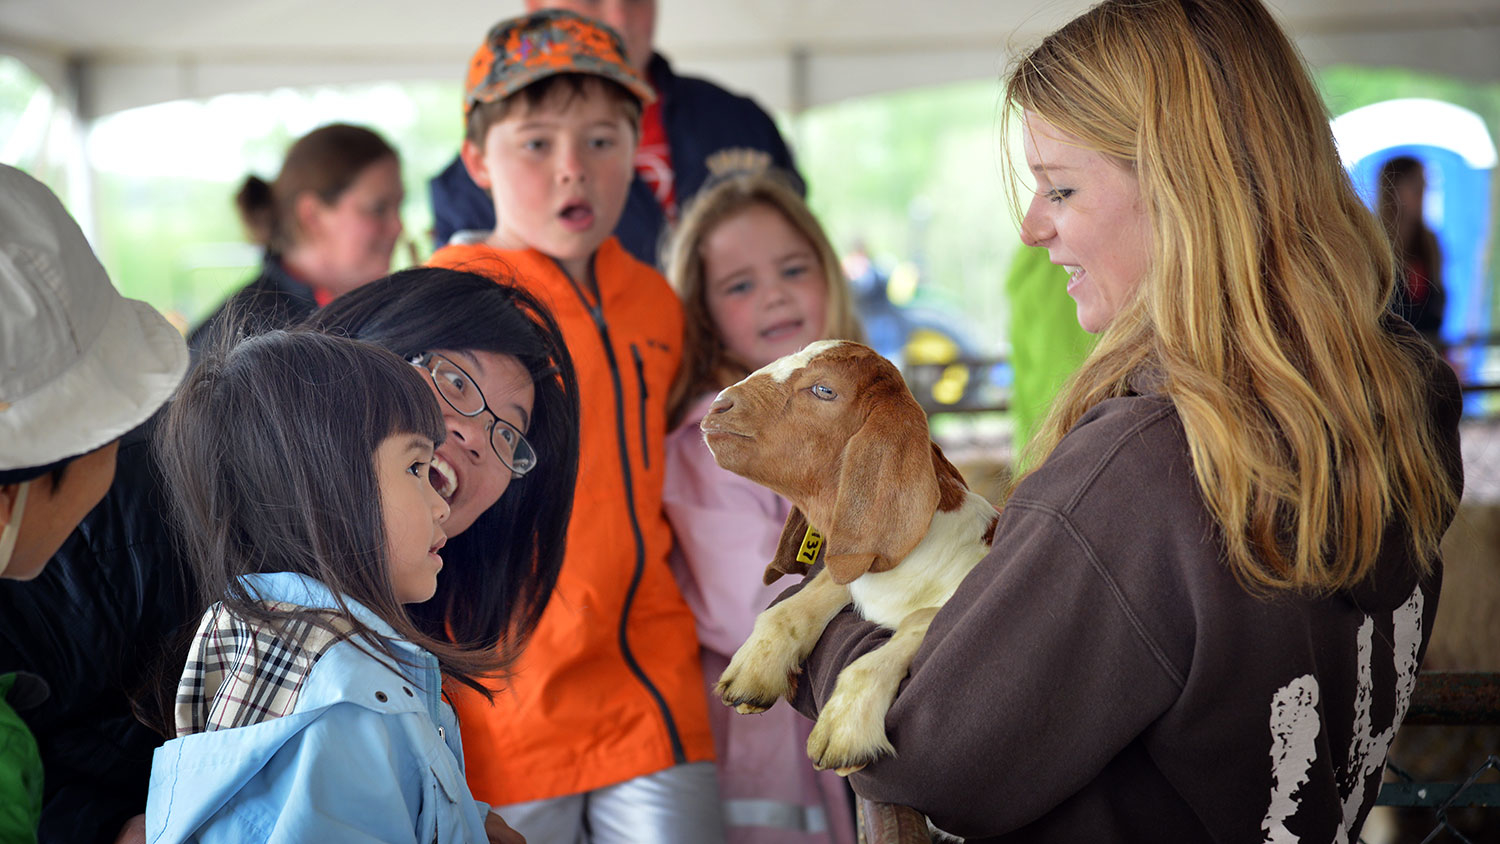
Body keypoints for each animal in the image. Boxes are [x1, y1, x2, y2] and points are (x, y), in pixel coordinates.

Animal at [702, 340, 996, 773]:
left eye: (824, 390)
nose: (717, 404)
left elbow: (921, 619)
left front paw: (844, 729)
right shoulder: (853, 566)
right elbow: (811, 594)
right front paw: (753, 669)